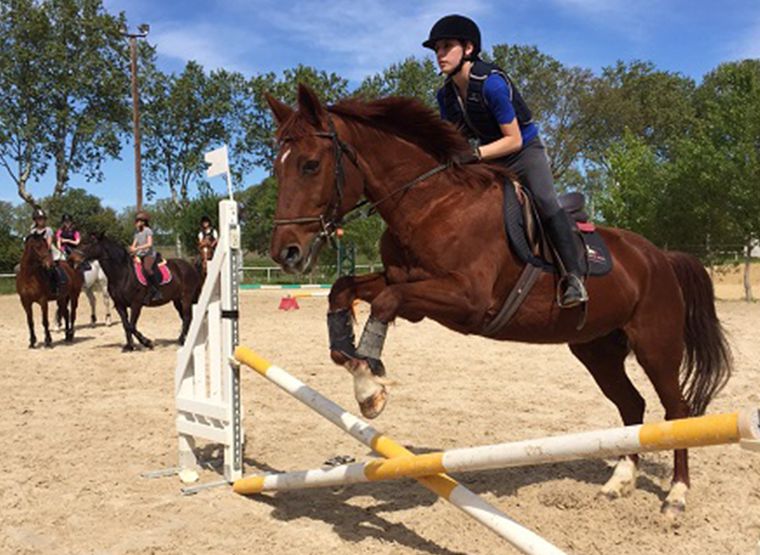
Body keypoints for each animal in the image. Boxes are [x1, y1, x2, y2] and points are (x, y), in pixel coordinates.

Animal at [71, 235, 200, 352]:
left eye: (88, 243)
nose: (72, 258)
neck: (122, 274)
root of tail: (189, 266)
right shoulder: (120, 305)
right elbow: (126, 325)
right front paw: (129, 346)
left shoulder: (136, 304)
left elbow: (131, 325)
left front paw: (147, 342)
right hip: (176, 300)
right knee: (184, 317)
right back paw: (183, 338)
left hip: (186, 297)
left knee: (187, 317)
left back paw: (182, 340)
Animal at [262, 84, 732, 516]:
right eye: (278, 169)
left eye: (311, 164)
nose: (286, 253)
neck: (429, 202)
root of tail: (660, 256)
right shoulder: (406, 285)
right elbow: (344, 289)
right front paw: (348, 355)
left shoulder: (465, 299)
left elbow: (384, 304)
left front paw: (369, 387)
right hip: (597, 348)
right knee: (631, 404)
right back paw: (619, 481)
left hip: (656, 345)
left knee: (677, 410)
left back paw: (676, 495)